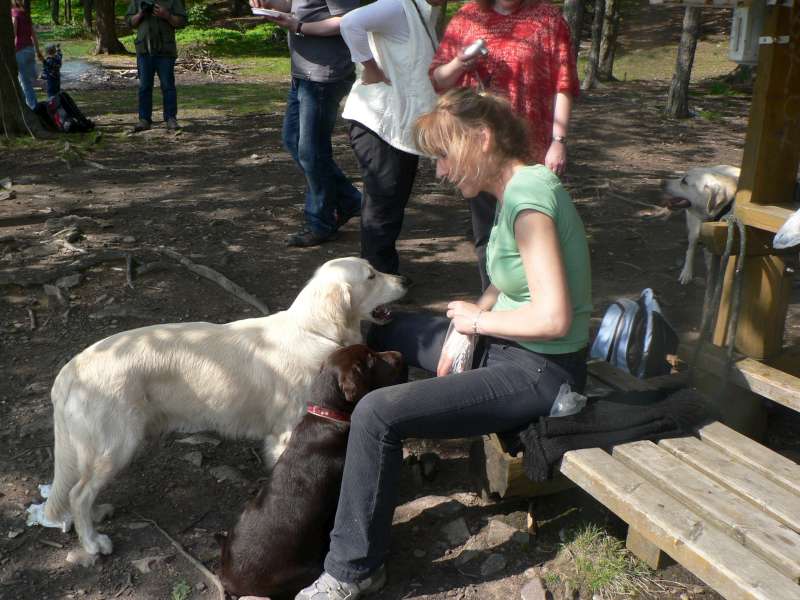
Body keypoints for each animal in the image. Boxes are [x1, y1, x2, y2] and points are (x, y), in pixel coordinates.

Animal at [41, 257, 407, 565]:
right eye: (371, 275)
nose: (404, 279)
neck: (314, 330)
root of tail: (70, 368)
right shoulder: (290, 431)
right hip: (118, 444)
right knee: (78, 493)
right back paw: (93, 543)